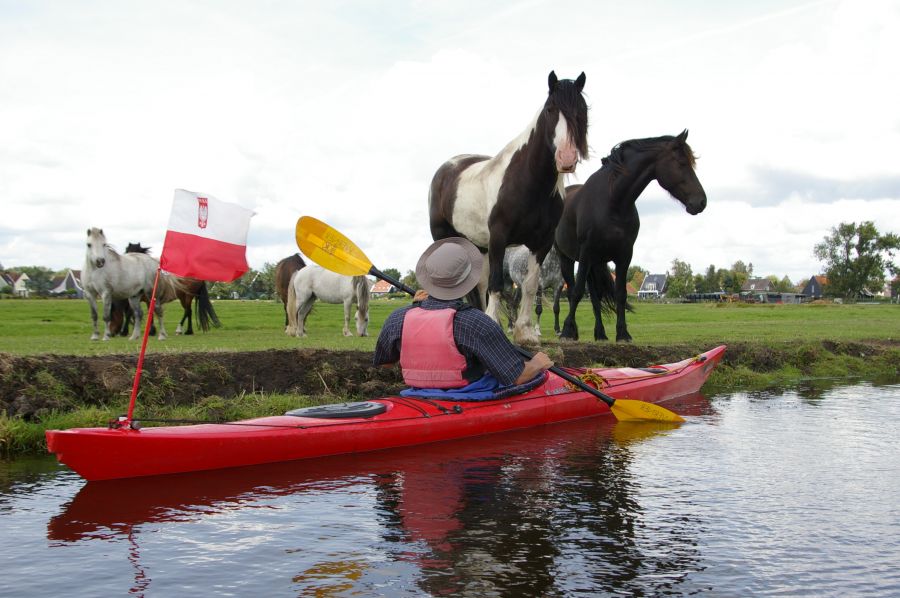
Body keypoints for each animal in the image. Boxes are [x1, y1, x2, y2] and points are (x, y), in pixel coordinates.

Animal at [428, 69, 592, 346]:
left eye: (582, 109)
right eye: (550, 109)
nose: (566, 158)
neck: (528, 181)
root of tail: (448, 168)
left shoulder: (541, 243)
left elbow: (529, 286)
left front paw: (525, 332)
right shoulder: (499, 237)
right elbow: (496, 284)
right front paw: (495, 324)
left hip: (478, 246)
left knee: (478, 286)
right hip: (446, 238)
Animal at [556, 132, 712, 344]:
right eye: (681, 163)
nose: (701, 202)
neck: (612, 201)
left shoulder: (624, 255)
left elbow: (620, 294)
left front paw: (623, 334)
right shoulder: (586, 252)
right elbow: (577, 292)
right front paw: (566, 331)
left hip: (595, 263)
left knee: (596, 297)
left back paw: (600, 333)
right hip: (569, 258)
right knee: (575, 289)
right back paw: (573, 331)